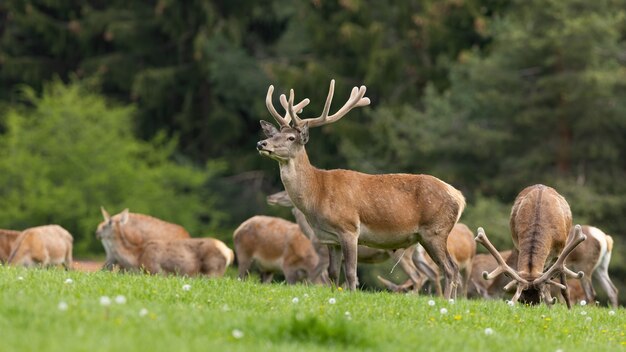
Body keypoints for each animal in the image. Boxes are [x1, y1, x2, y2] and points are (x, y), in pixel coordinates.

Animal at [264, 191, 428, 290]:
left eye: (285, 192)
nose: (270, 198)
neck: (311, 235)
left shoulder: (323, 255)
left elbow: (314, 276)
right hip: (417, 254)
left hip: (400, 253)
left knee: (417, 275)